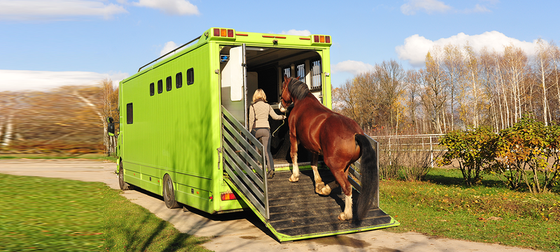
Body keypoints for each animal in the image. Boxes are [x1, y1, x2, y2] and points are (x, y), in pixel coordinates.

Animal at [278, 75, 378, 220]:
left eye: (282, 87)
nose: (281, 106)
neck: (303, 101)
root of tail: (355, 134)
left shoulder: (293, 136)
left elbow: (294, 154)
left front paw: (294, 176)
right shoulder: (313, 146)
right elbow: (313, 164)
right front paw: (319, 184)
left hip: (333, 164)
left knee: (347, 187)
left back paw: (346, 214)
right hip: (344, 166)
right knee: (339, 182)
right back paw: (325, 189)